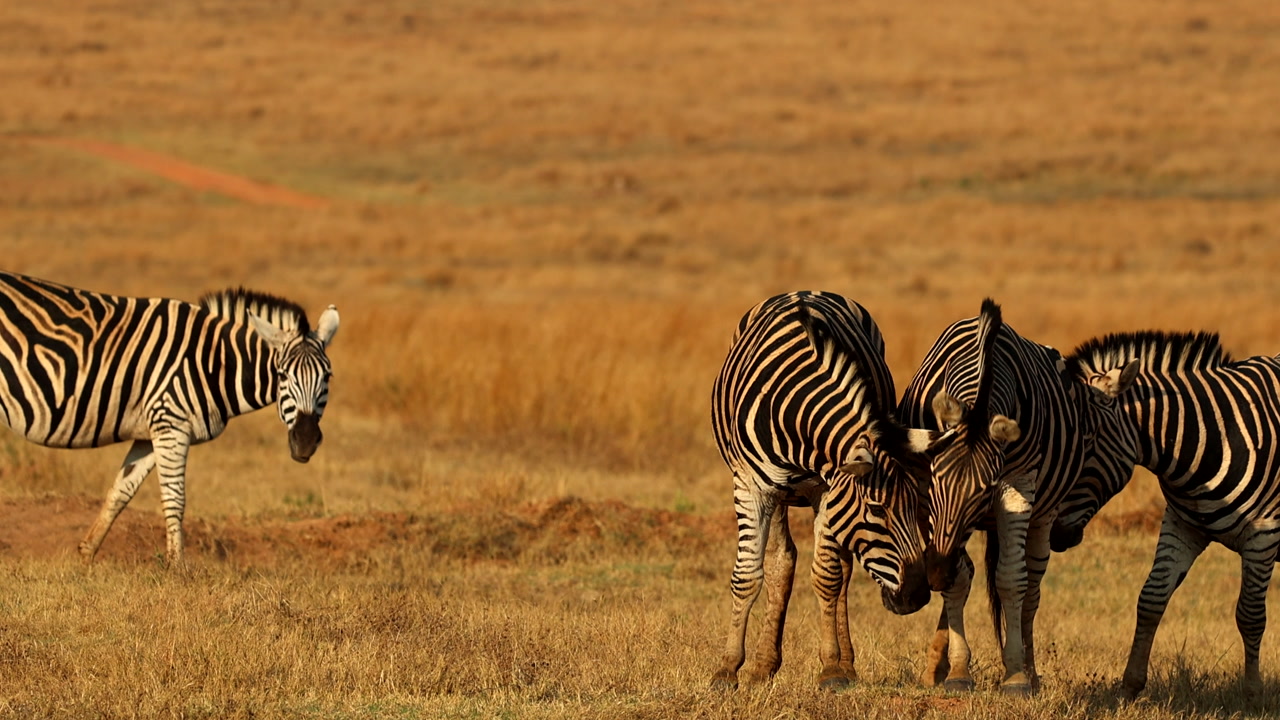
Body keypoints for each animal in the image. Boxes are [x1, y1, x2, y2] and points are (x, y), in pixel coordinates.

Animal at [0, 271, 338, 565]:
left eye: (327, 377)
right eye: (281, 375)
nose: (306, 441)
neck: (213, 361)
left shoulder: (150, 432)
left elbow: (120, 492)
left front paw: (86, 556)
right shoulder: (171, 424)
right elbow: (175, 498)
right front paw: (178, 569)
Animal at [710, 291, 946, 690]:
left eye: (918, 507)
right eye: (877, 510)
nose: (916, 596)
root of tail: (804, 291)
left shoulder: (828, 490)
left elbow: (827, 576)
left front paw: (833, 667)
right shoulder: (749, 485)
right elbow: (747, 575)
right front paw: (727, 669)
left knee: (842, 569)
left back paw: (844, 663)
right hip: (776, 494)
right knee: (782, 561)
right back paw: (763, 664)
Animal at [897, 298, 1139, 695]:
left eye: (986, 489)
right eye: (933, 483)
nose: (934, 575)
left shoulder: (1017, 487)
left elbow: (1011, 580)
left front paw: (1014, 676)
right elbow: (960, 579)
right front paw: (958, 671)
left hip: (1041, 516)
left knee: (1031, 590)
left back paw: (1028, 669)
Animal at [1050, 330, 1280, 700]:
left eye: (1085, 443)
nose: (1054, 536)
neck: (1207, 440)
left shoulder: (1264, 532)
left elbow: (1250, 614)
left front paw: (1253, 693)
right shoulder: (1182, 526)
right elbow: (1151, 599)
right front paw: (1130, 685)